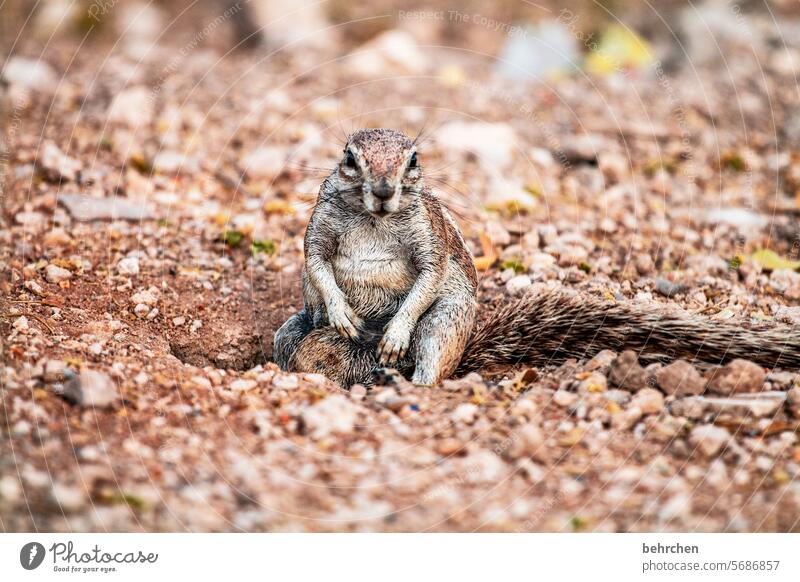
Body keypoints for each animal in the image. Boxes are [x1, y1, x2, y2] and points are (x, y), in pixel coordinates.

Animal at [276, 128, 800, 388]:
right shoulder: (320, 225)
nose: (384, 191)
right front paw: (342, 312)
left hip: (447, 322)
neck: (374, 219)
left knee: (431, 362)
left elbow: (427, 277)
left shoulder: (429, 241)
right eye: (350, 158)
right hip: (291, 332)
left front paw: (394, 333)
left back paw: (403, 378)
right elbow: (317, 263)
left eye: (414, 160)